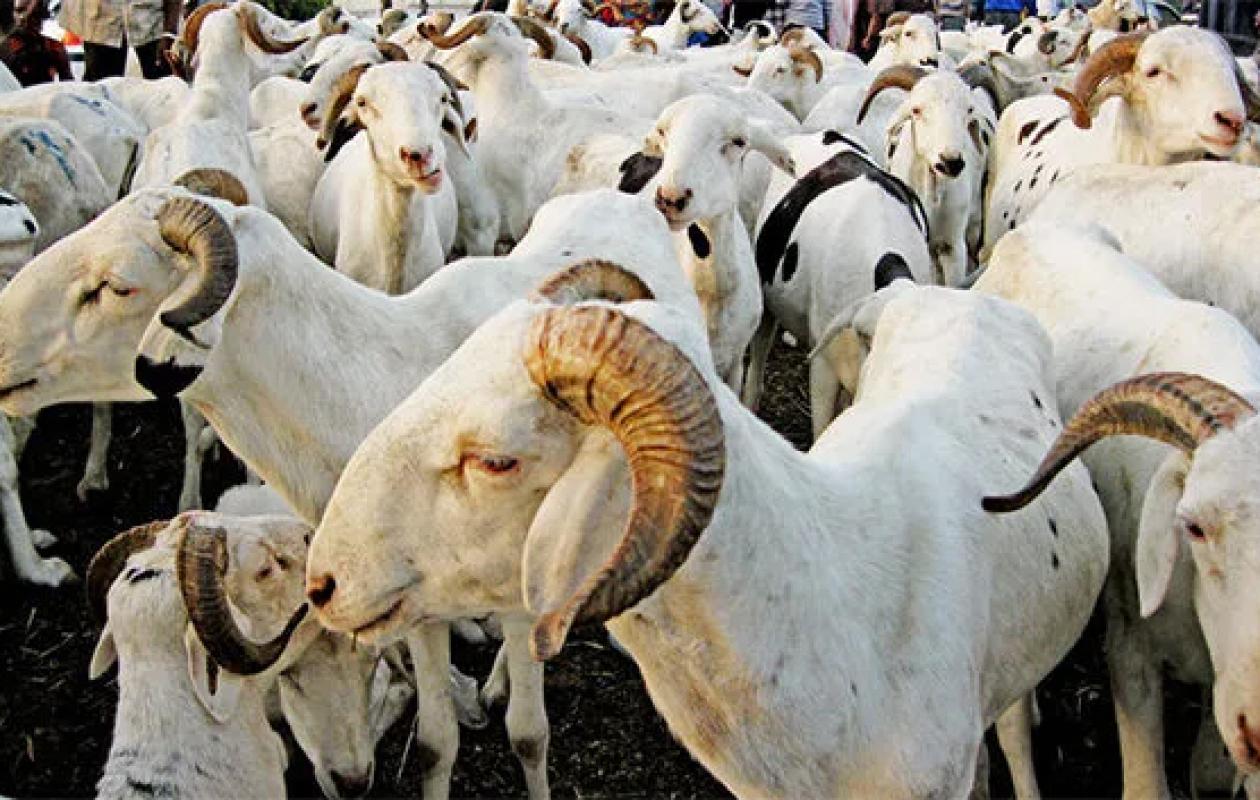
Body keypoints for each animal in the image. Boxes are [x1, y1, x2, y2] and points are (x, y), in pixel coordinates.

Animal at [0, 188, 700, 800]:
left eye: (116, 286)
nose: (2, 349)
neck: (368, 386)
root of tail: (624, 198)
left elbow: (528, 736)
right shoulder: (407, 605)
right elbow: (435, 744)